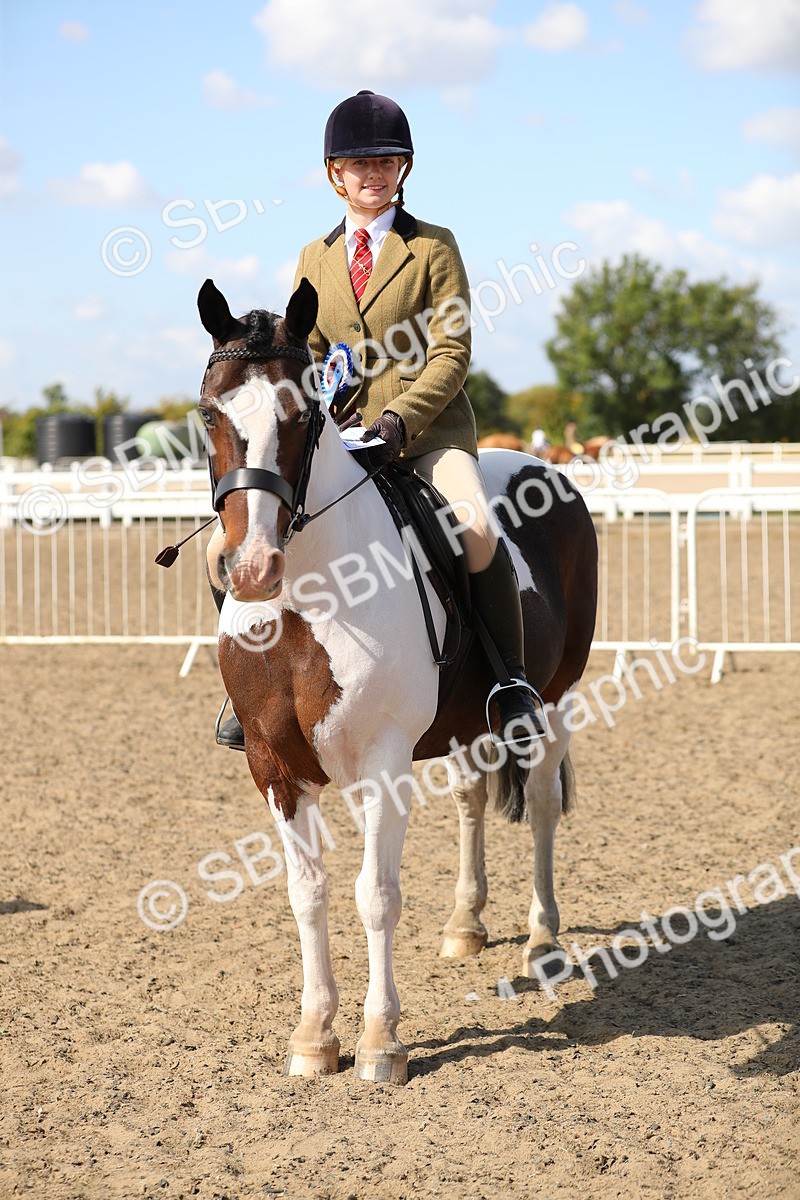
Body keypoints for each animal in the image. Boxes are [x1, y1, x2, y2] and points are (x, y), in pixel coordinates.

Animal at [197, 277, 598, 1085]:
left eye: (302, 414)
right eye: (209, 413)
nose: (249, 569)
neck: (309, 598)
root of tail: (545, 466)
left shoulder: (383, 762)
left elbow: (375, 896)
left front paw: (381, 1040)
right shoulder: (273, 766)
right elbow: (308, 893)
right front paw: (314, 1035)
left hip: (554, 699)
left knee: (541, 803)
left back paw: (543, 941)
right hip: (467, 724)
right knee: (473, 800)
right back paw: (466, 923)